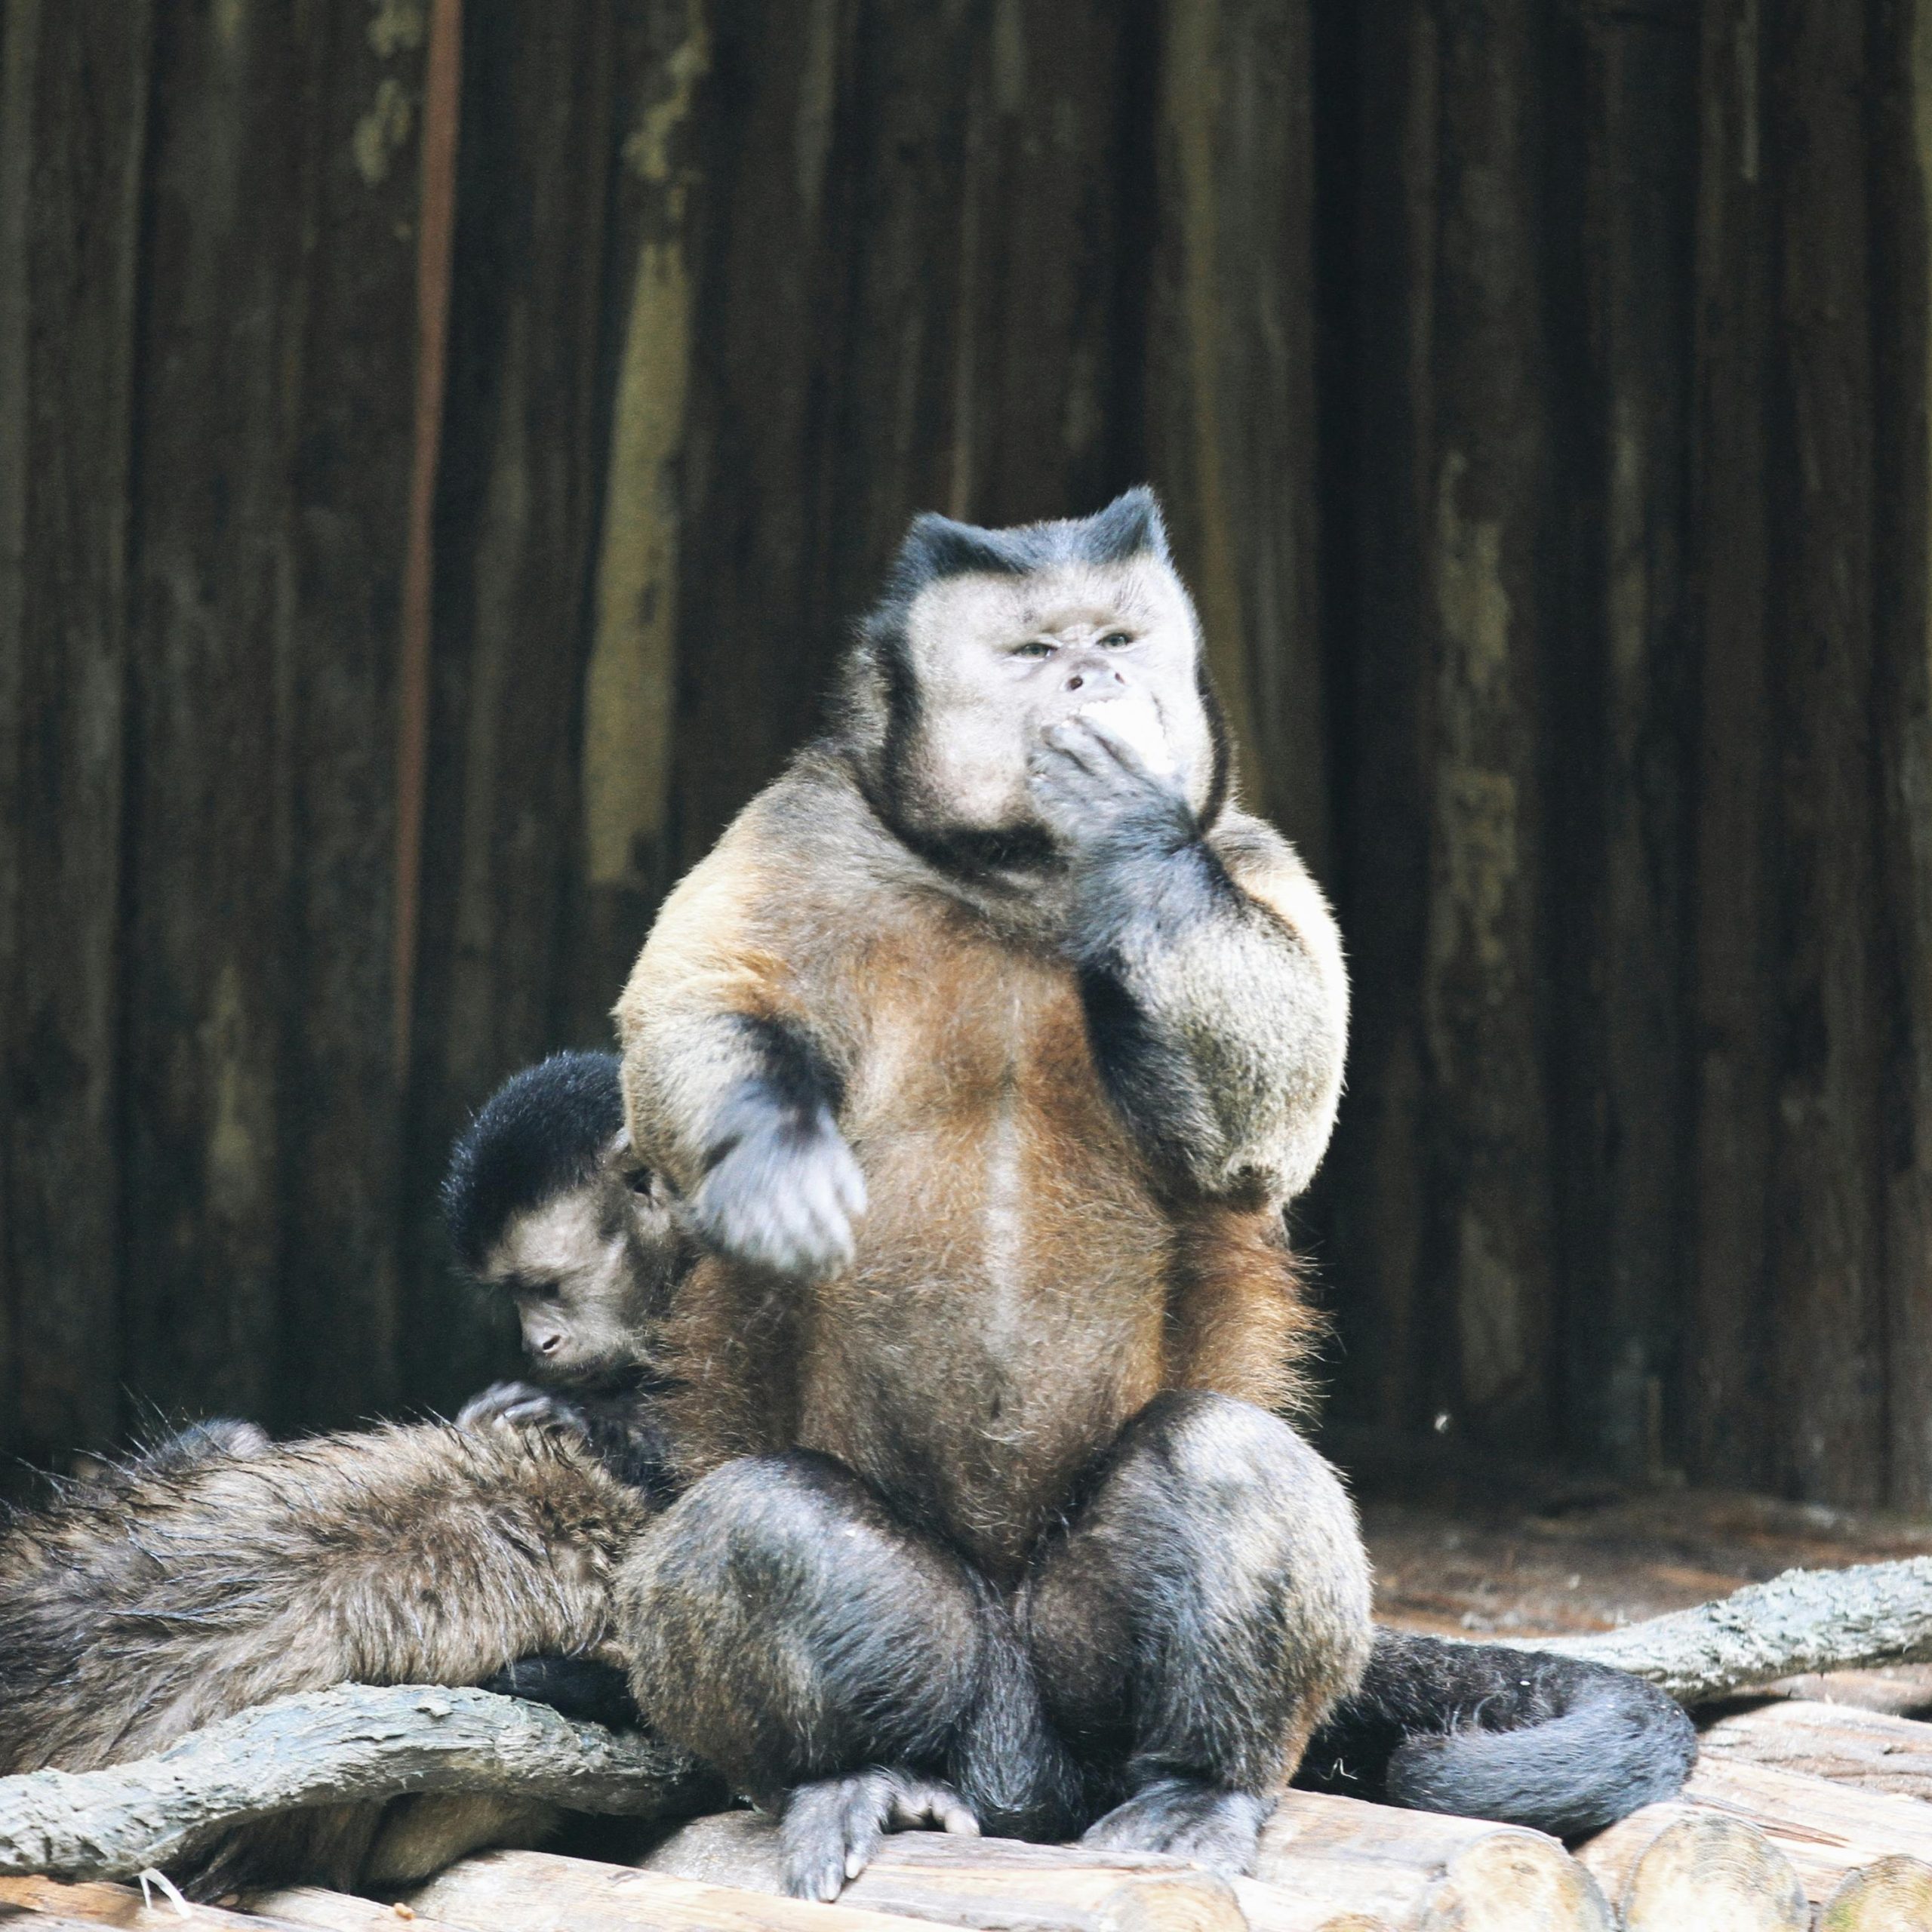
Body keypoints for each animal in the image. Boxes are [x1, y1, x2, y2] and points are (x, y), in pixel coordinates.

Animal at [606, 488, 1694, 1898]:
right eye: (1034, 650)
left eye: (1116, 638)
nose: (1093, 679)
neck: (1014, 877)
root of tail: (1016, 1741)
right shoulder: (800, 834)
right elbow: (694, 1012)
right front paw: (770, 1163)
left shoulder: (1249, 850)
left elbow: (1274, 1107)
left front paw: (1127, 831)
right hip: (943, 1654)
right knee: (771, 1523)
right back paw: (854, 1776)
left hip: (1090, 1674)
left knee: (1222, 1467)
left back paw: (1199, 1783)